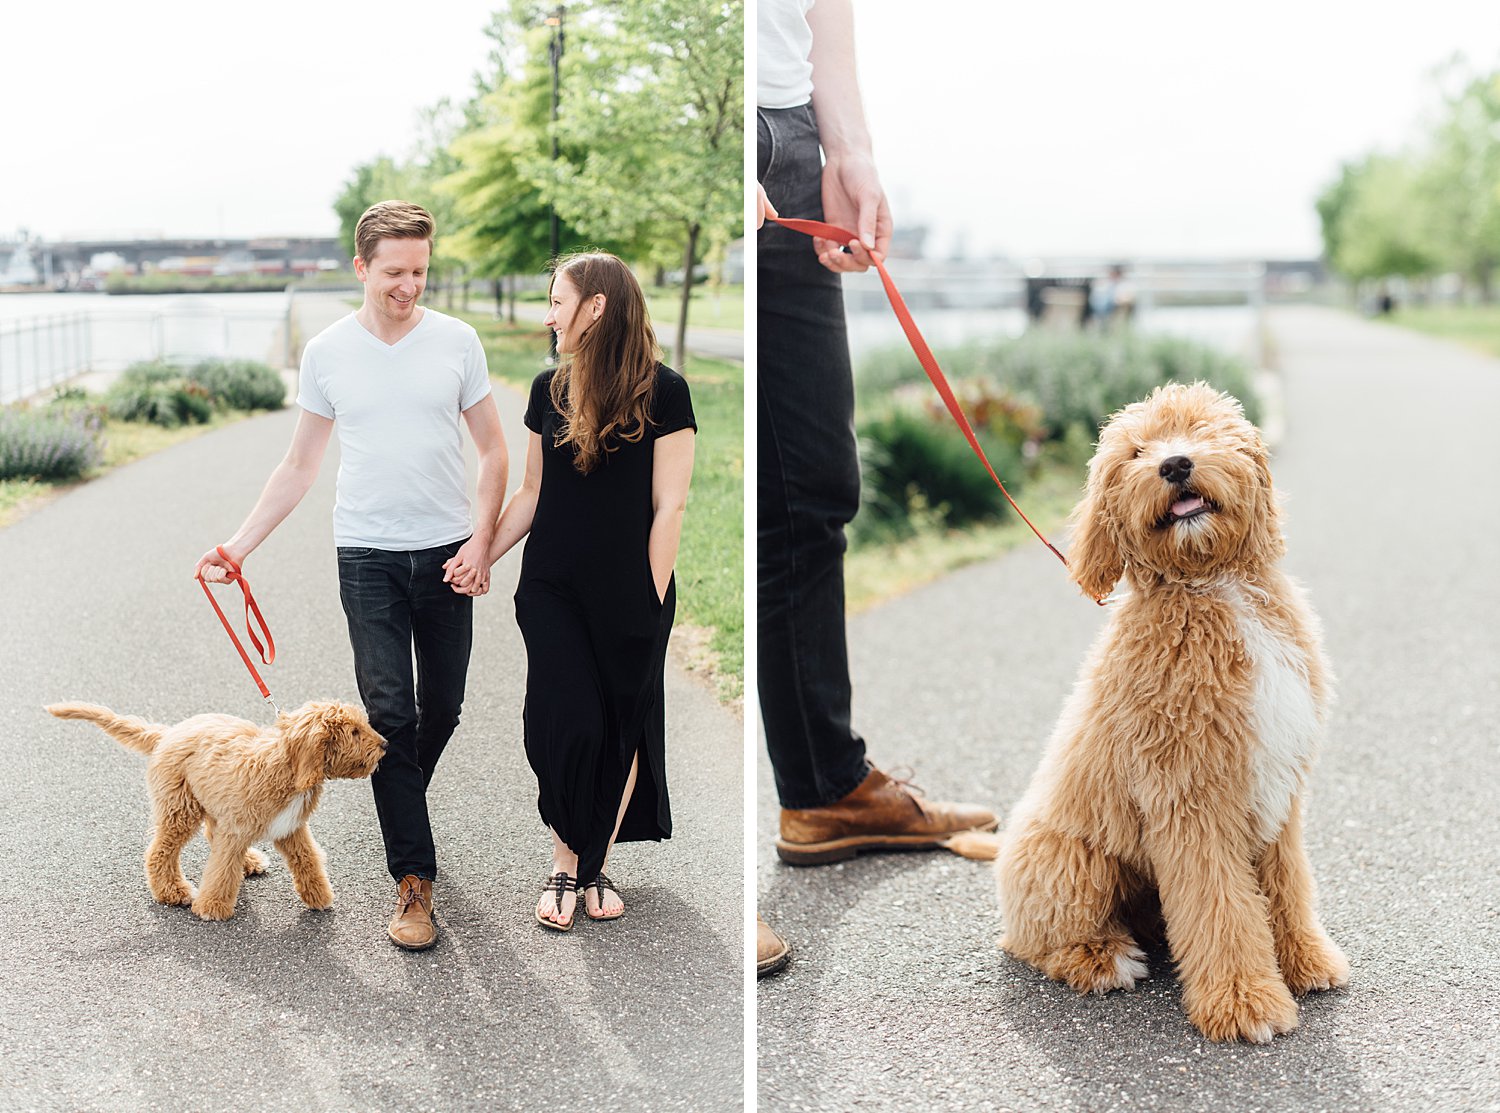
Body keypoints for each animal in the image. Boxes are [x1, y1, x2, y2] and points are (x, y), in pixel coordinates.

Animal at [49, 696, 384, 924]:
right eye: (353, 732)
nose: (385, 744)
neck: (284, 766)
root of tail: (167, 733)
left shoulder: (290, 828)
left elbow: (308, 859)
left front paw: (318, 895)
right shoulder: (237, 829)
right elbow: (222, 869)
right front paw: (212, 908)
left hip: (212, 799)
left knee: (210, 833)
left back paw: (249, 861)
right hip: (180, 807)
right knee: (159, 851)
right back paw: (172, 891)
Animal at [996, 384, 1350, 1044]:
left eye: (1202, 431)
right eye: (1136, 452)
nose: (1175, 464)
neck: (1211, 586)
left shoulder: (1279, 789)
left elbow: (1287, 885)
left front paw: (1305, 962)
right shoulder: (1191, 796)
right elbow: (1221, 907)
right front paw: (1246, 1004)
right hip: (1070, 861)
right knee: (1042, 943)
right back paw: (1104, 959)